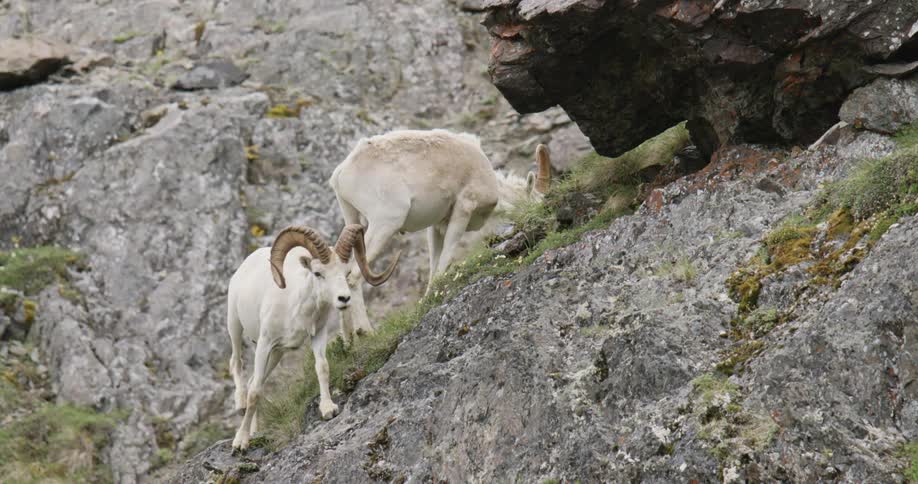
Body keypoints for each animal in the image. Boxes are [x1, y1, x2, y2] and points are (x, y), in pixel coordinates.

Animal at [226, 224, 400, 451]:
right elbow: (255, 392)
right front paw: (241, 442)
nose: (344, 298)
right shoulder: (265, 343)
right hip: (235, 326)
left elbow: (322, 368)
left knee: (255, 379)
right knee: (237, 364)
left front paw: (328, 409)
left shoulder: (318, 335)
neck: (296, 308)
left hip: (276, 355)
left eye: (346, 272)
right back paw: (240, 408)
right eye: (318, 273)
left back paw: (254, 430)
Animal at [328, 129, 551, 336]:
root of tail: (341, 174)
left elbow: (435, 265)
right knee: (353, 276)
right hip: (385, 224)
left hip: (353, 220)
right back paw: (366, 332)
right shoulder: (462, 211)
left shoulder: (436, 227)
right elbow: (446, 258)